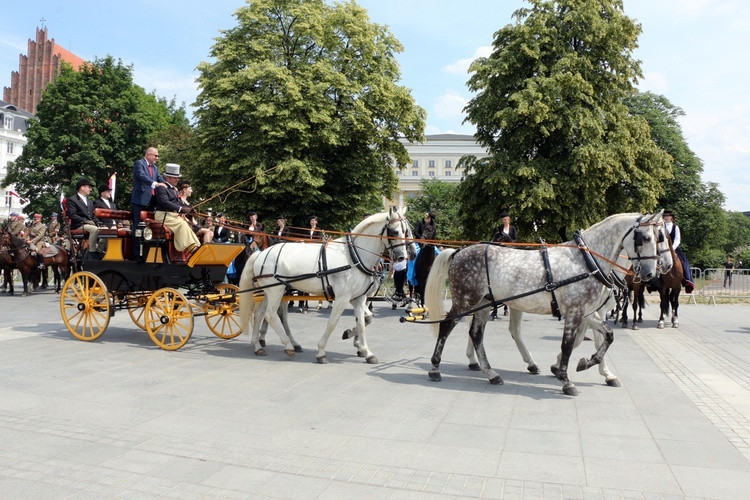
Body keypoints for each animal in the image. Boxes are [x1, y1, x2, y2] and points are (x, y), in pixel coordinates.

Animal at [241, 207, 418, 364]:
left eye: (407, 231)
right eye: (394, 232)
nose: (405, 256)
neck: (354, 257)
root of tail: (261, 253)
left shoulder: (359, 298)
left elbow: (362, 322)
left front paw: (365, 350)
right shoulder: (342, 298)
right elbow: (332, 323)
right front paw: (321, 352)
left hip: (273, 291)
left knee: (261, 313)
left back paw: (258, 345)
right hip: (276, 290)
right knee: (271, 314)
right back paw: (288, 346)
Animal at [426, 213, 668, 396]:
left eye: (660, 237)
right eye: (647, 238)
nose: (652, 272)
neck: (586, 262)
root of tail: (460, 252)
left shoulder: (587, 312)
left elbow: (607, 336)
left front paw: (587, 363)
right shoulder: (574, 312)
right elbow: (568, 345)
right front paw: (566, 379)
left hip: (484, 304)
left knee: (476, 334)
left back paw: (491, 373)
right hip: (465, 301)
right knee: (446, 326)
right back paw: (435, 368)